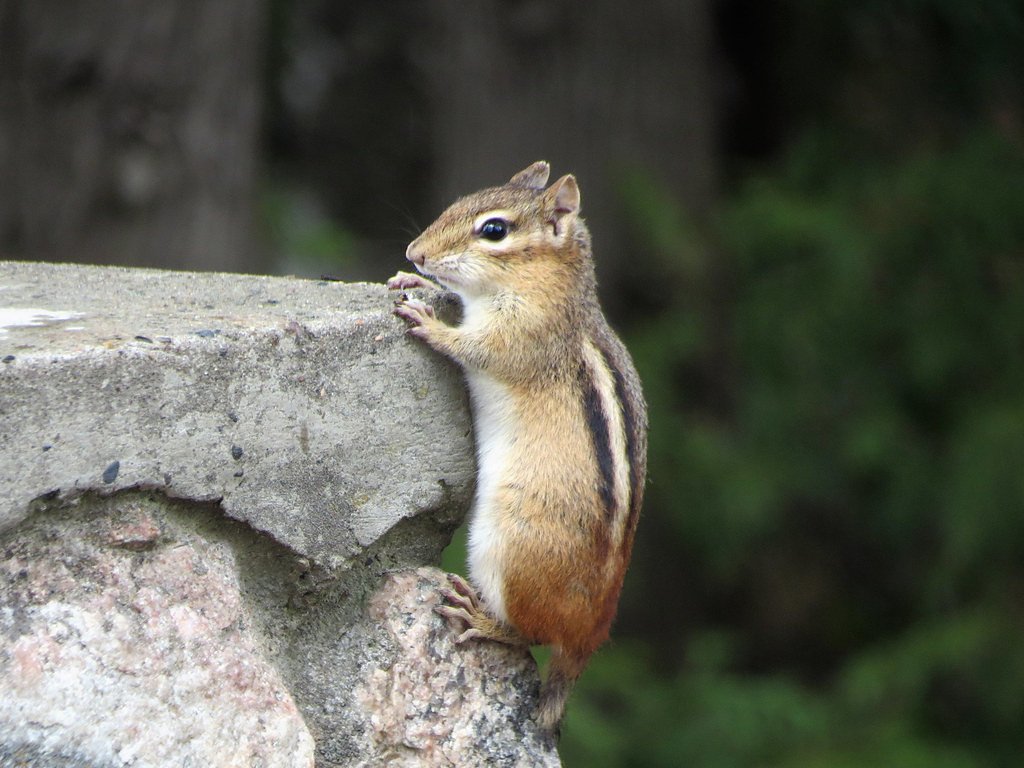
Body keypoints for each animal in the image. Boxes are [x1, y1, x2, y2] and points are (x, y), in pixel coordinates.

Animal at [387, 161, 647, 734]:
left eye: (494, 230)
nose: (415, 252)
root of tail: (589, 640)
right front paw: (412, 281)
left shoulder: (521, 336)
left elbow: (477, 347)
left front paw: (431, 323)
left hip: (506, 550)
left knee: (530, 634)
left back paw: (484, 620)